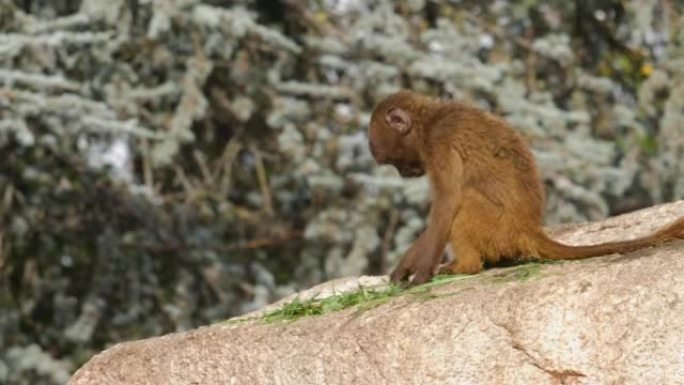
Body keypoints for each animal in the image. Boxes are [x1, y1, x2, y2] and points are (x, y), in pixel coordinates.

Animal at [368, 89, 684, 282]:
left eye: (392, 160)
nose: (403, 173)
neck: (429, 121)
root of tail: (527, 228)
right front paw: (406, 267)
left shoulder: (440, 144)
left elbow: (448, 202)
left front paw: (421, 274)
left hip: (497, 227)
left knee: (466, 201)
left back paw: (465, 266)